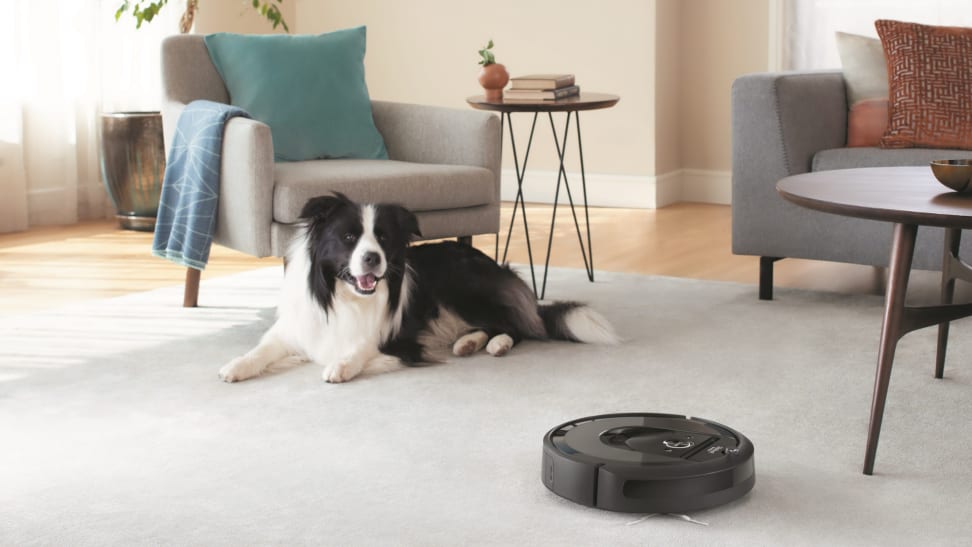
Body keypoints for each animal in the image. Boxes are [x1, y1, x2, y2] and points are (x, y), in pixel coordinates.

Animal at [217, 194, 620, 386]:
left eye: (382, 238)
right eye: (348, 237)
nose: (373, 259)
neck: (344, 296)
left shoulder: (398, 339)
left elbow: (364, 346)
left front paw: (341, 366)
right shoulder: (298, 328)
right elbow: (262, 349)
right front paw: (235, 366)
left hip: (463, 288)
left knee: (517, 326)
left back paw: (495, 344)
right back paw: (468, 342)